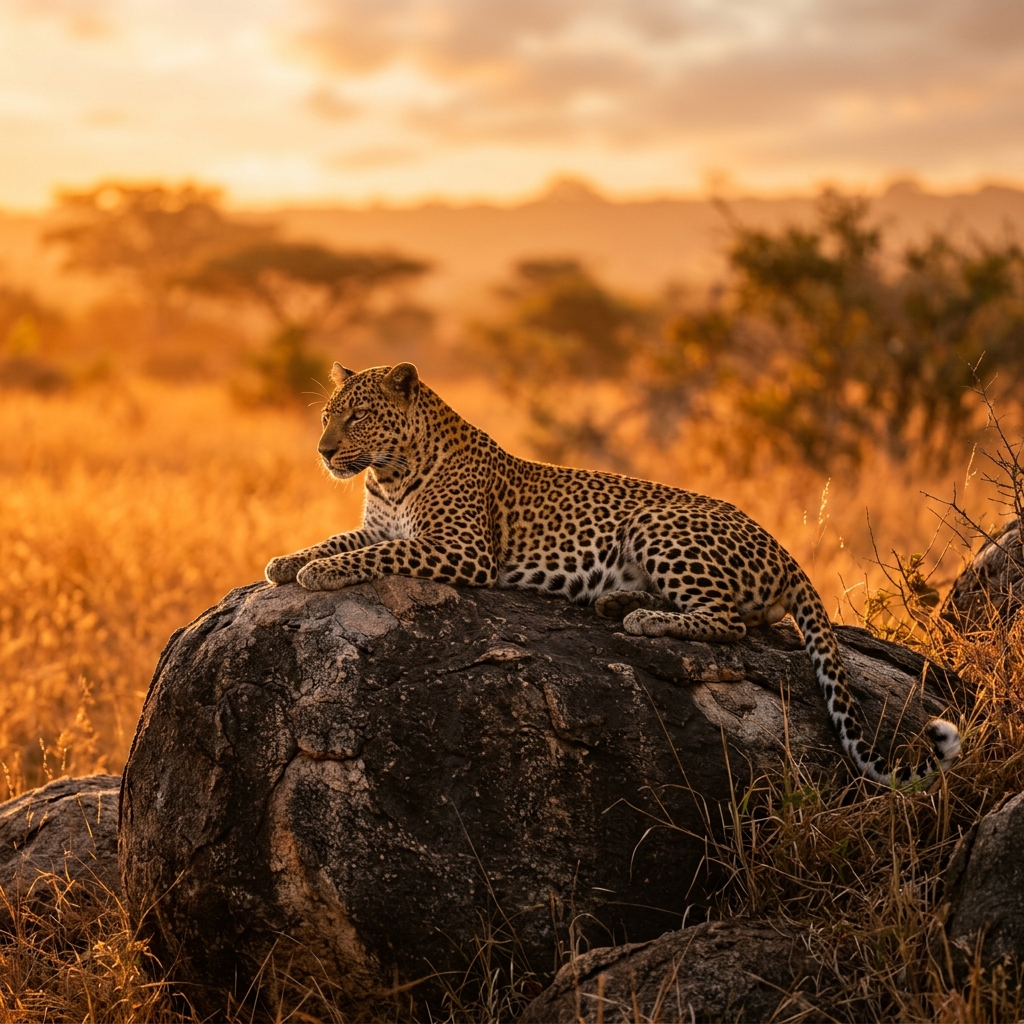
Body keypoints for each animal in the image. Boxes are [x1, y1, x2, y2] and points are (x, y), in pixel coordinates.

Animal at [266, 361, 961, 788]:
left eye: (356, 417)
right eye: (327, 416)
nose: (323, 451)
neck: (388, 472)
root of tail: (784, 549)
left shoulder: (460, 549)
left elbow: (369, 557)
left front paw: (320, 574)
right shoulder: (382, 525)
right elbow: (340, 539)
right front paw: (287, 561)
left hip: (659, 524)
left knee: (729, 622)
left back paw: (641, 617)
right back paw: (614, 602)